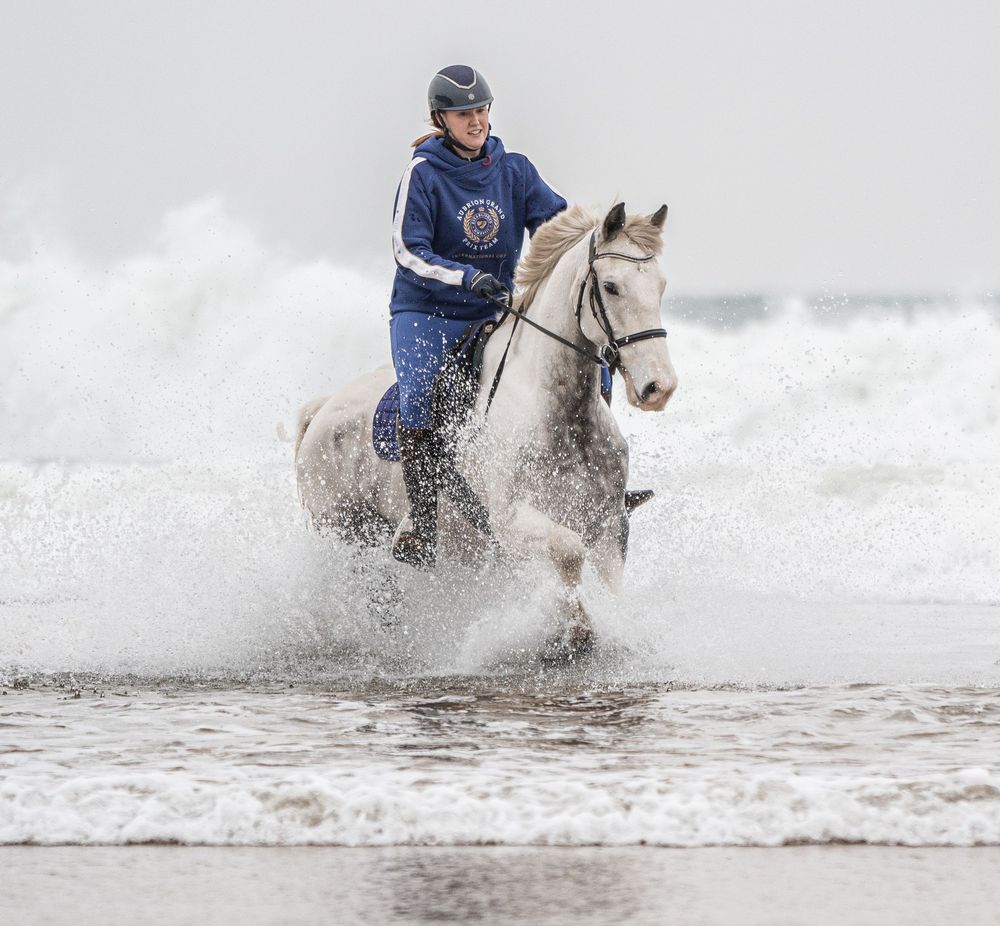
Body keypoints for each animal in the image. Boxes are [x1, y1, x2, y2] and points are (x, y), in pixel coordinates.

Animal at [295, 202, 678, 656]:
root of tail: (321, 411)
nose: (658, 387)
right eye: (612, 286)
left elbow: (609, 581)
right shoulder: (510, 522)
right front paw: (577, 627)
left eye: (660, 286)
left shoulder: (609, 522)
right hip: (345, 535)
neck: (560, 413)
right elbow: (569, 551)